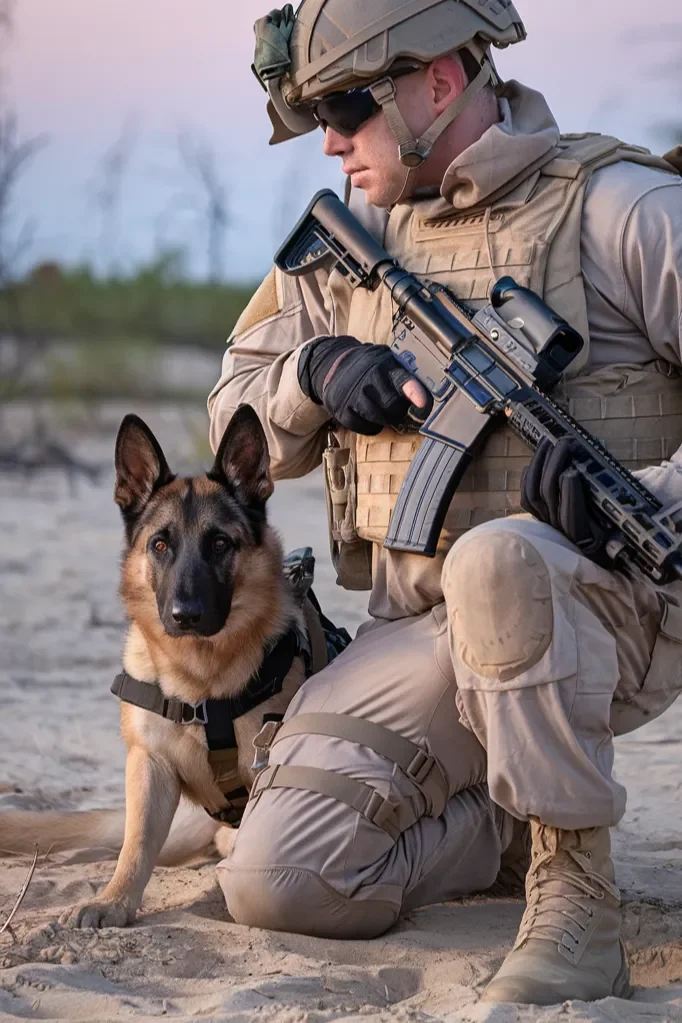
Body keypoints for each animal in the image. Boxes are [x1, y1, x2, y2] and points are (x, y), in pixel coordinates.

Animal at [0, 405, 314, 928]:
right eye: (160, 545)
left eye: (220, 544)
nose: (185, 615)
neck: (200, 682)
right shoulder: (149, 768)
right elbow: (136, 846)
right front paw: (114, 901)